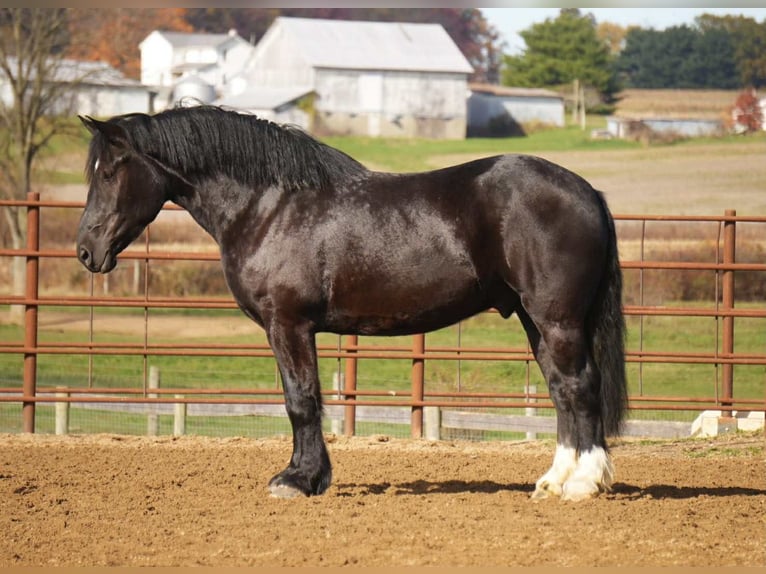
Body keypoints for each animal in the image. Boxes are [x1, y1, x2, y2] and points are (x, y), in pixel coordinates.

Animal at [75, 105, 627, 502]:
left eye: (109, 172)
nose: (86, 250)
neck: (269, 206)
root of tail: (587, 191)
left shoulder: (288, 324)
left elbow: (301, 400)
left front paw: (297, 480)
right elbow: (308, 399)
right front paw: (310, 476)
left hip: (557, 320)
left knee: (579, 387)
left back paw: (582, 484)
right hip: (537, 322)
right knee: (560, 390)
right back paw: (554, 480)